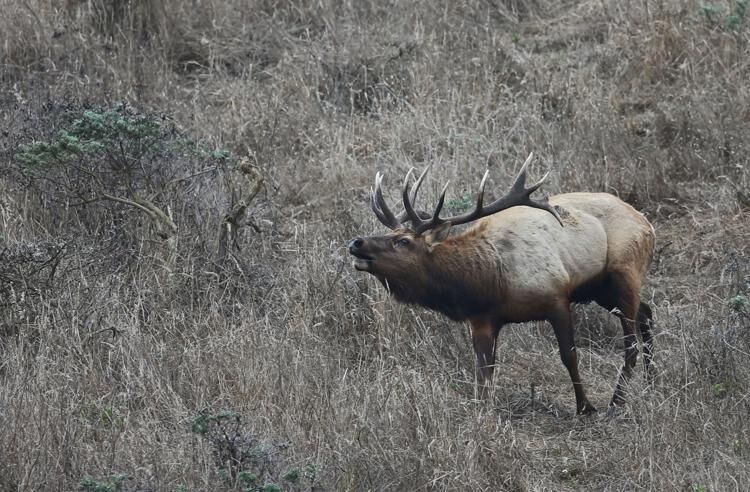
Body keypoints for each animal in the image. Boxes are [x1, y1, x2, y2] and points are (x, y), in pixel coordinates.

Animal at [348, 153, 655, 415]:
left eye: (403, 241)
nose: (356, 242)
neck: (489, 284)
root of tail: (647, 223)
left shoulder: (556, 297)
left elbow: (569, 356)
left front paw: (585, 407)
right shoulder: (483, 320)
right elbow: (484, 372)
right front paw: (483, 411)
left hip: (625, 271)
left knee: (631, 343)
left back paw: (616, 403)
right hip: (601, 289)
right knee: (646, 313)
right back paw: (652, 381)